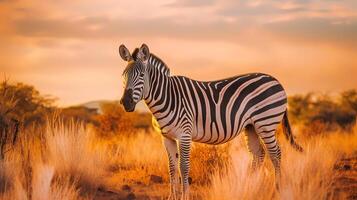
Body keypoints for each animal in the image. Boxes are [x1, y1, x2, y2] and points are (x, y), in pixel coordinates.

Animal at [118, 43, 302, 199]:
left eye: (142, 75)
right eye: (123, 76)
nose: (126, 102)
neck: (166, 97)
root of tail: (276, 80)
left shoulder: (184, 134)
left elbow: (183, 167)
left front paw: (185, 197)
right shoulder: (167, 137)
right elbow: (171, 168)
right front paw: (172, 197)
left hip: (266, 122)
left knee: (276, 153)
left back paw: (277, 190)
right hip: (251, 126)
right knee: (258, 155)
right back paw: (250, 187)